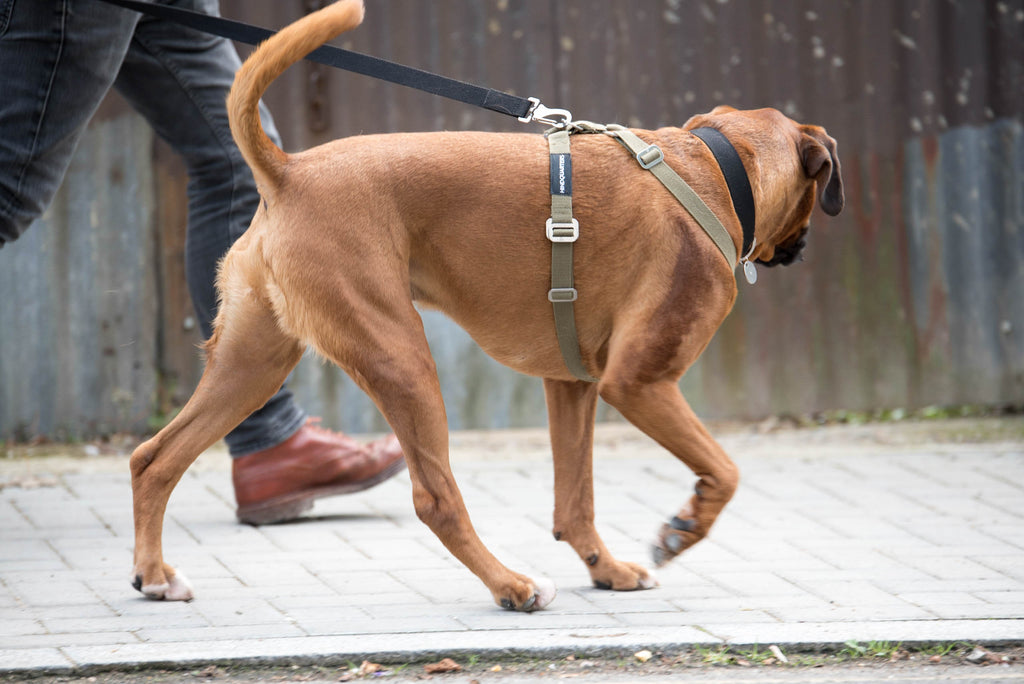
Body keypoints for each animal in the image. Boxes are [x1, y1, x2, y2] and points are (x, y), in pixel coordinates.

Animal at [128, 0, 843, 610]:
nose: (805, 246)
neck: (716, 168)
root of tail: (290, 172)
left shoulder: (573, 387)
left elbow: (574, 503)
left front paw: (607, 570)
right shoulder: (639, 383)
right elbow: (724, 471)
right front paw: (682, 529)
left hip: (252, 365)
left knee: (154, 458)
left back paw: (155, 575)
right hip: (401, 358)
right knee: (435, 497)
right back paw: (512, 586)